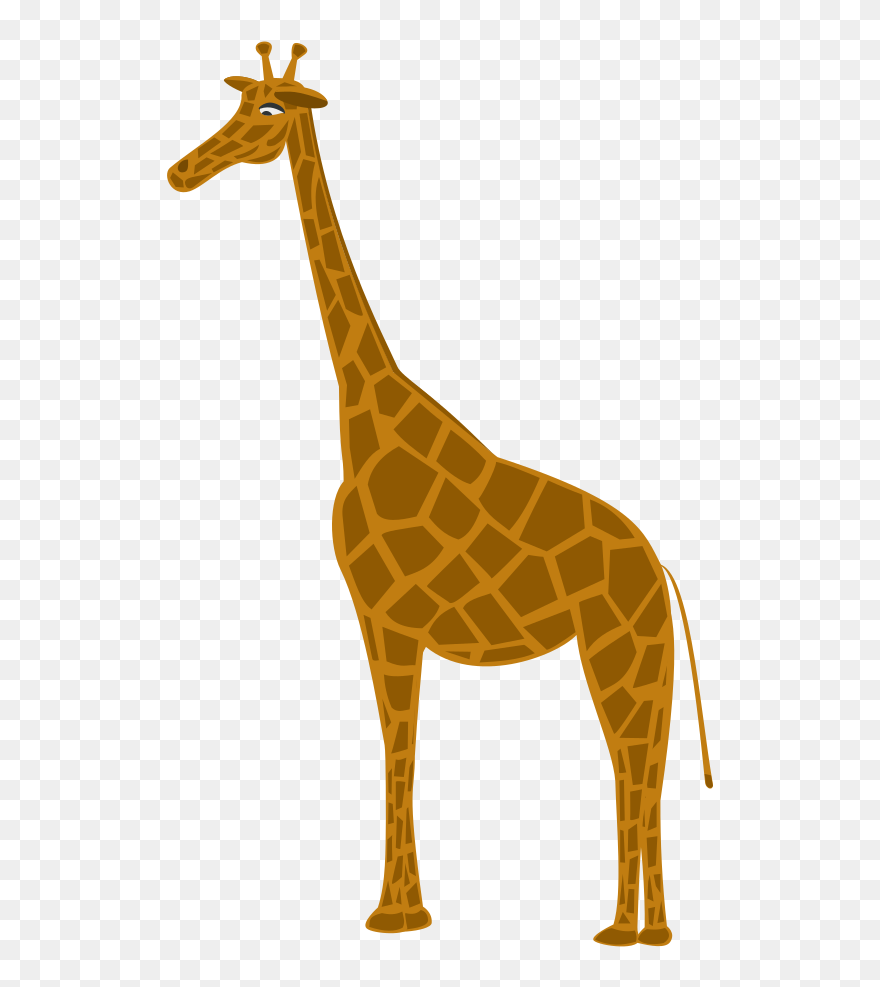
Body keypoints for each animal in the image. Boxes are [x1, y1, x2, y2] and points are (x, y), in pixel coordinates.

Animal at [167, 43, 714, 945]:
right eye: (240, 102)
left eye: (271, 112)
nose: (181, 171)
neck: (362, 412)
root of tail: (657, 563)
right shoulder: (379, 615)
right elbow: (402, 746)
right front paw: (404, 906)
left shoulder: (389, 615)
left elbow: (399, 745)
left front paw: (396, 912)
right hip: (630, 652)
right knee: (637, 766)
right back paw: (632, 927)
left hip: (620, 648)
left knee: (636, 764)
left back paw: (639, 930)